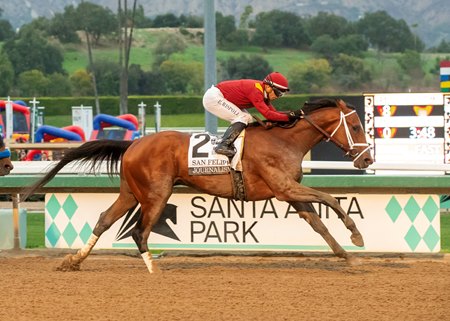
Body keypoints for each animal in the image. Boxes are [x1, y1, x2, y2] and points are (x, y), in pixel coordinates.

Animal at [21, 97, 372, 270]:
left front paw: (347, 256)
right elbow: (331, 199)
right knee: (139, 232)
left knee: (105, 220)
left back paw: (74, 261)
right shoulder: (285, 189)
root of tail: (133, 144)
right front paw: (356, 236)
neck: (285, 140)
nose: (367, 159)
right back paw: (153, 270)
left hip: (131, 193)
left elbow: (320, 224)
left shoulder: (290, 193)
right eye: (356, 126)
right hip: (155, 194)